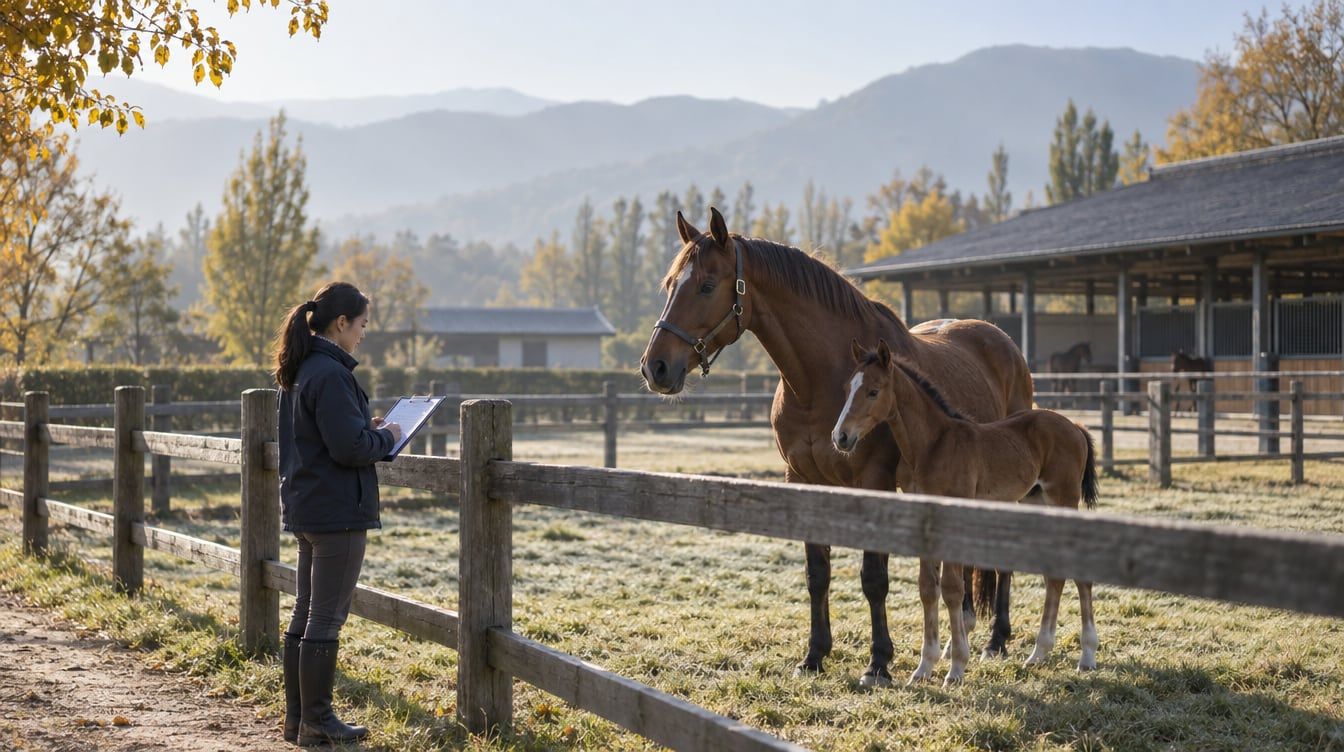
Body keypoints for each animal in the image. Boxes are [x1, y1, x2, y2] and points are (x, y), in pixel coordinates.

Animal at [640, 207, 1034, 687]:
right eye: (669, 285)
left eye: (707, 285)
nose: (655, 367)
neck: (822, 380)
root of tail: (1002, 342)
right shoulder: (803, 480)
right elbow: (817, 573)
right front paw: (814, 655)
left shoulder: (874, 482)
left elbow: (873, 576)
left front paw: (878, 663)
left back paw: (997, 640)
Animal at [832, 339, 1099, 684]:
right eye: (847, 388)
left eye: (873, 391)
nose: (841, 436)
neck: (931, 445)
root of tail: (1075, 427)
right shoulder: (923, 515)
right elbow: (927, 587)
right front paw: (924, 667)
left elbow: (952, 588)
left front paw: (957, 667)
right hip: (1036, 502)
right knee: (1055, 574)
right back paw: (1038, 653)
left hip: (1064, 499)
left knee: (1080, 574)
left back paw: (1087, 656)